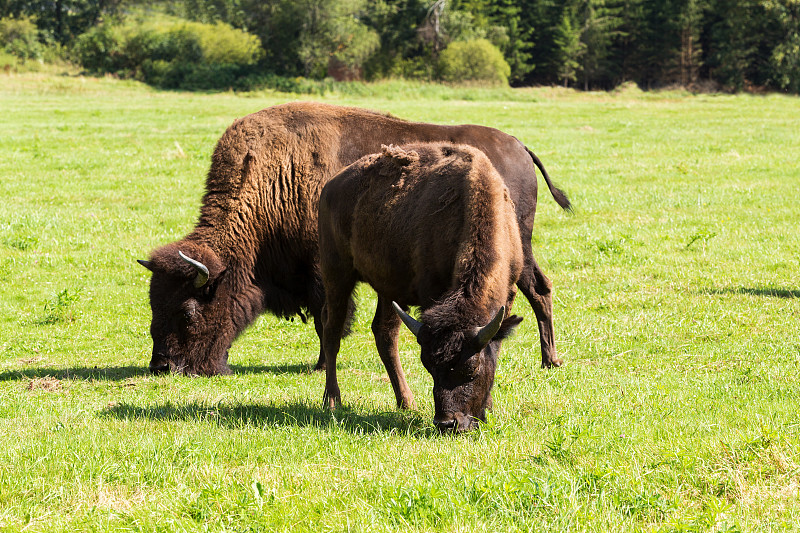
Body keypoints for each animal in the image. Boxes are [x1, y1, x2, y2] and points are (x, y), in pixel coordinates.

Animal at [138, 100, 568, 374]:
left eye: (188, 311)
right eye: (153, 304)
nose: (163, 365)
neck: (274, 177)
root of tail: (519, 146)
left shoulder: (321, 271)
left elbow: (328, 317)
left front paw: (319, 364)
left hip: (516, 245)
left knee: (537, 289)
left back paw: (549, 359)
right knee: (539, 288)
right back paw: (550, 359)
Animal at [318, 142, 524, 432]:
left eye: (471, 369)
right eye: (428, 366)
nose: (447, 423)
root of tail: (331, 187)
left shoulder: (509, 293)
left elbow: (495, 347)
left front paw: (489, 408)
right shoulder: (430, 294)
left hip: (388, 289)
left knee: (384, 334)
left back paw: (406, 402)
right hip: (337, 275)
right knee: (332, 332)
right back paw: (332, 400)